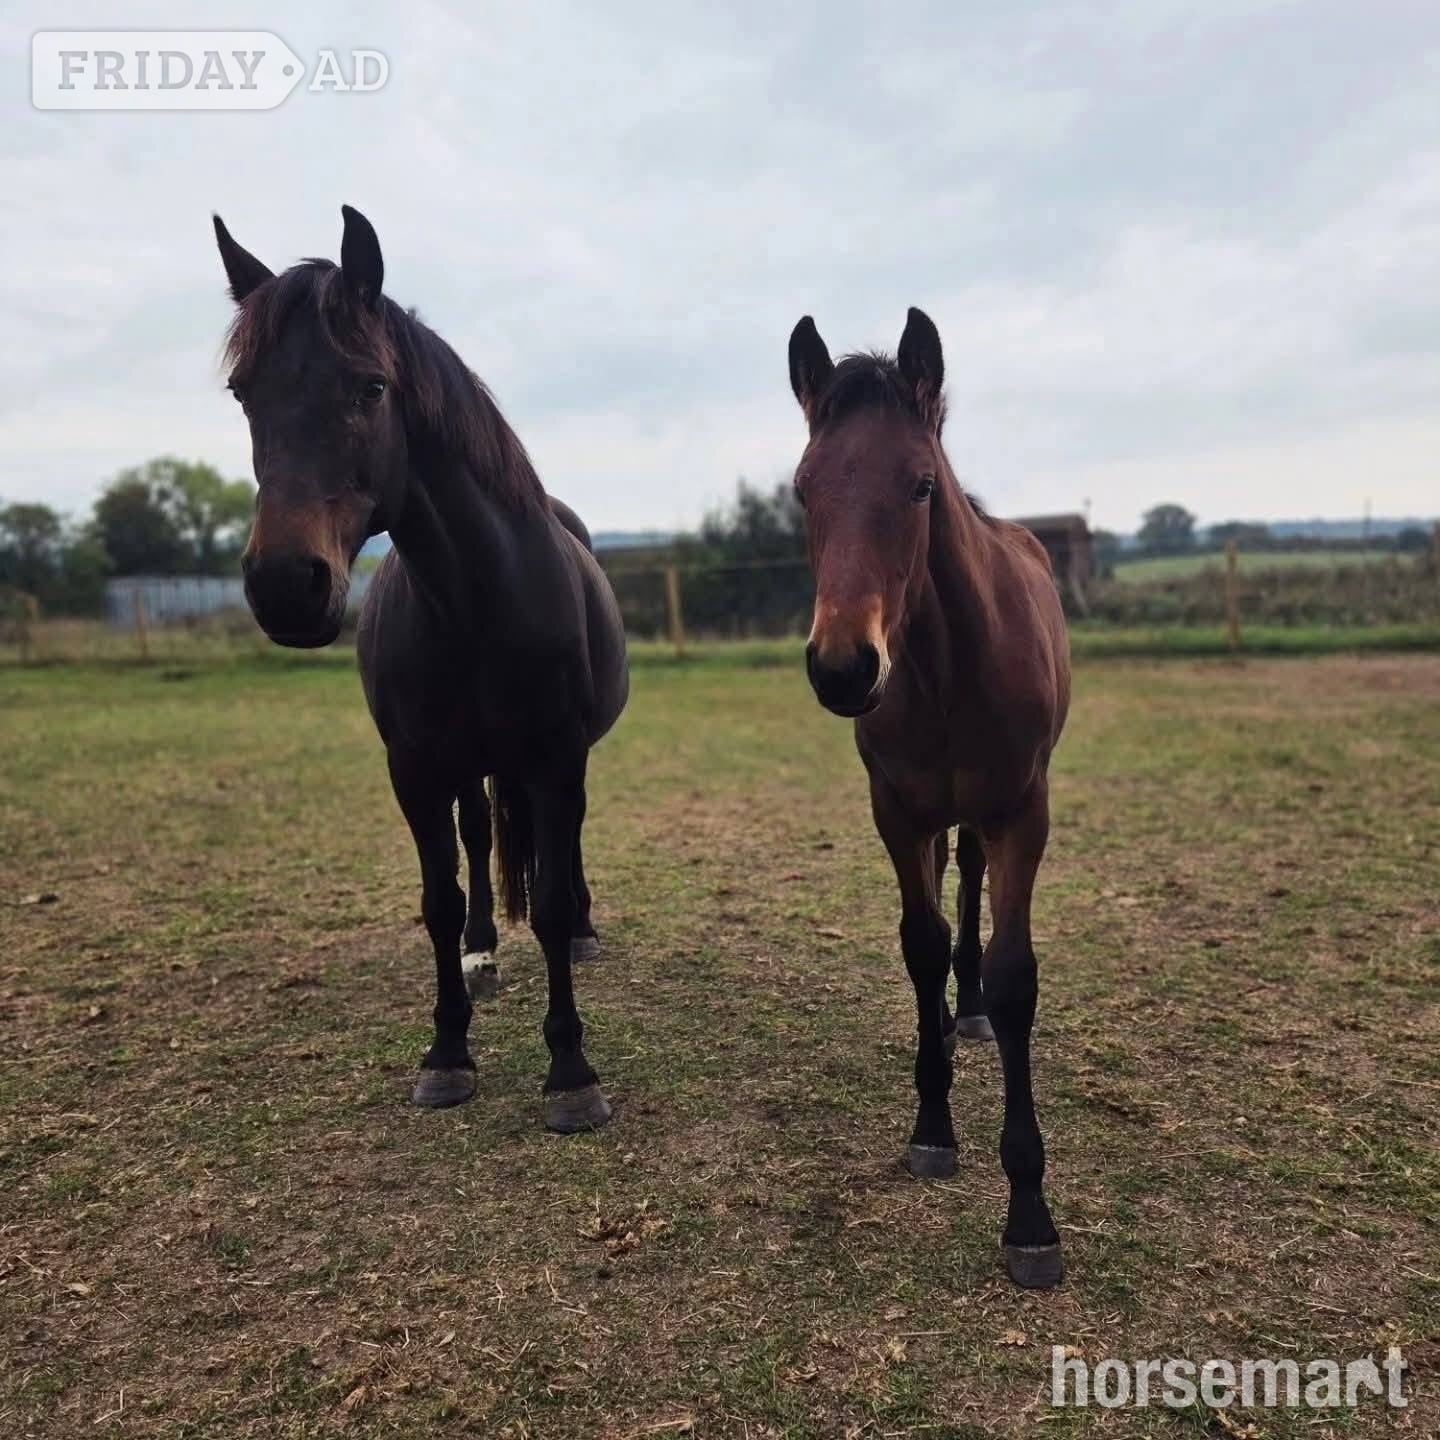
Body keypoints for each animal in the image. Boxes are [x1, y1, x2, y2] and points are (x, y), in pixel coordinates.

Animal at [213, 205, 628, 1133]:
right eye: (244, 394)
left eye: (370, 387)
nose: (285, 584)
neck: (477, 596)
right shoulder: (414, 769)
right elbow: (437, 902)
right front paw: (448, 1051)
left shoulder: (556, 759)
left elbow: (550, 899)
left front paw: (571, 1069)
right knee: (478, 837)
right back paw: (483, 951)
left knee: (565, 851)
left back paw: (582, 932)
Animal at [787, 308, 1071, 1288]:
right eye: (802, 491)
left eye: (918, 485)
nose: (843, 667)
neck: (947, 668)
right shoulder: (898, 813)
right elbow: (919, 944)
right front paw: (934, 1126)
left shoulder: (1023, 812)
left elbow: (1018, 975)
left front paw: (1030, 1216)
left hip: (988, 815)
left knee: (974, 885)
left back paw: (970, 1010)